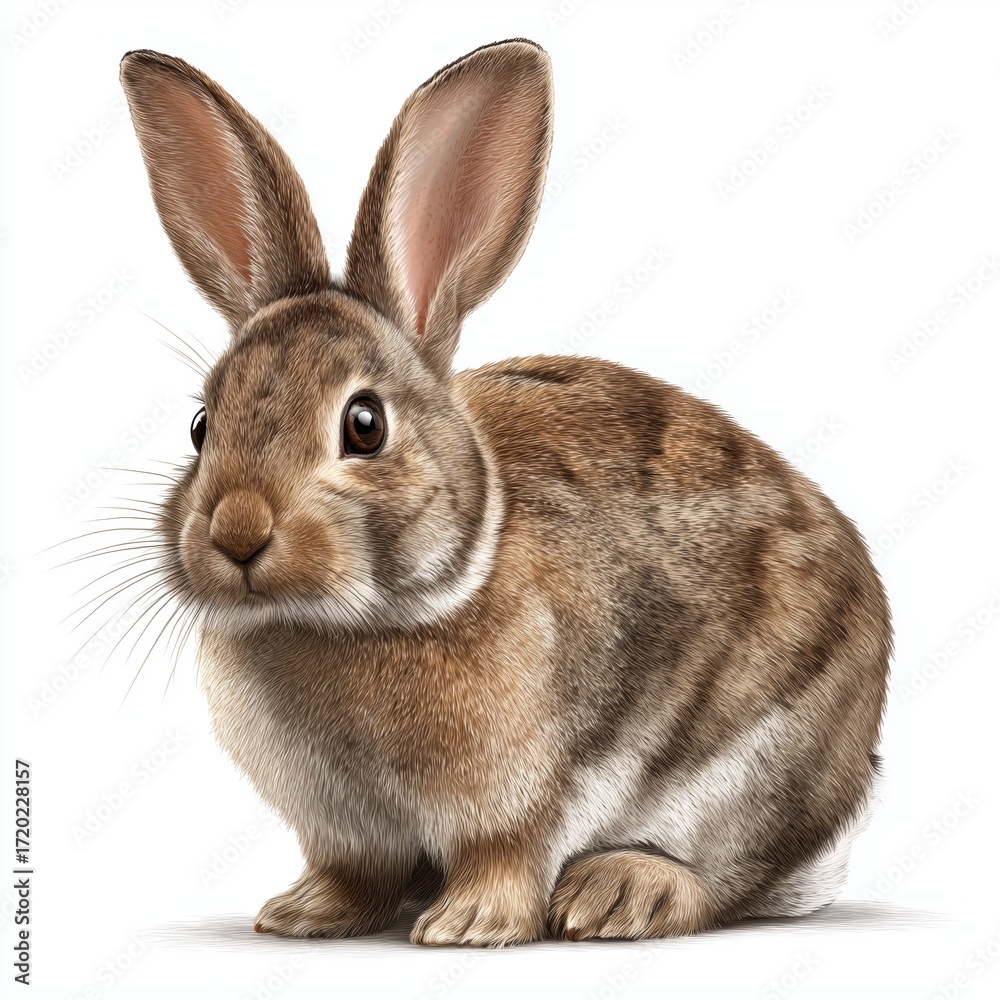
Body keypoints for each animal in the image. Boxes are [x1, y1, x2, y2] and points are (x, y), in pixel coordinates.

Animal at [119, 39, 891, 947]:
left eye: (364, 425)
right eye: (202, 425)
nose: (237, 532)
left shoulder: (527, 794)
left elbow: (509, 854)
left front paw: (468, 925)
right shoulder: (343, 829)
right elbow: (351, 872)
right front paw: (303, 915)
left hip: (757, 770)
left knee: (725, 877)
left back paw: (619, 895)